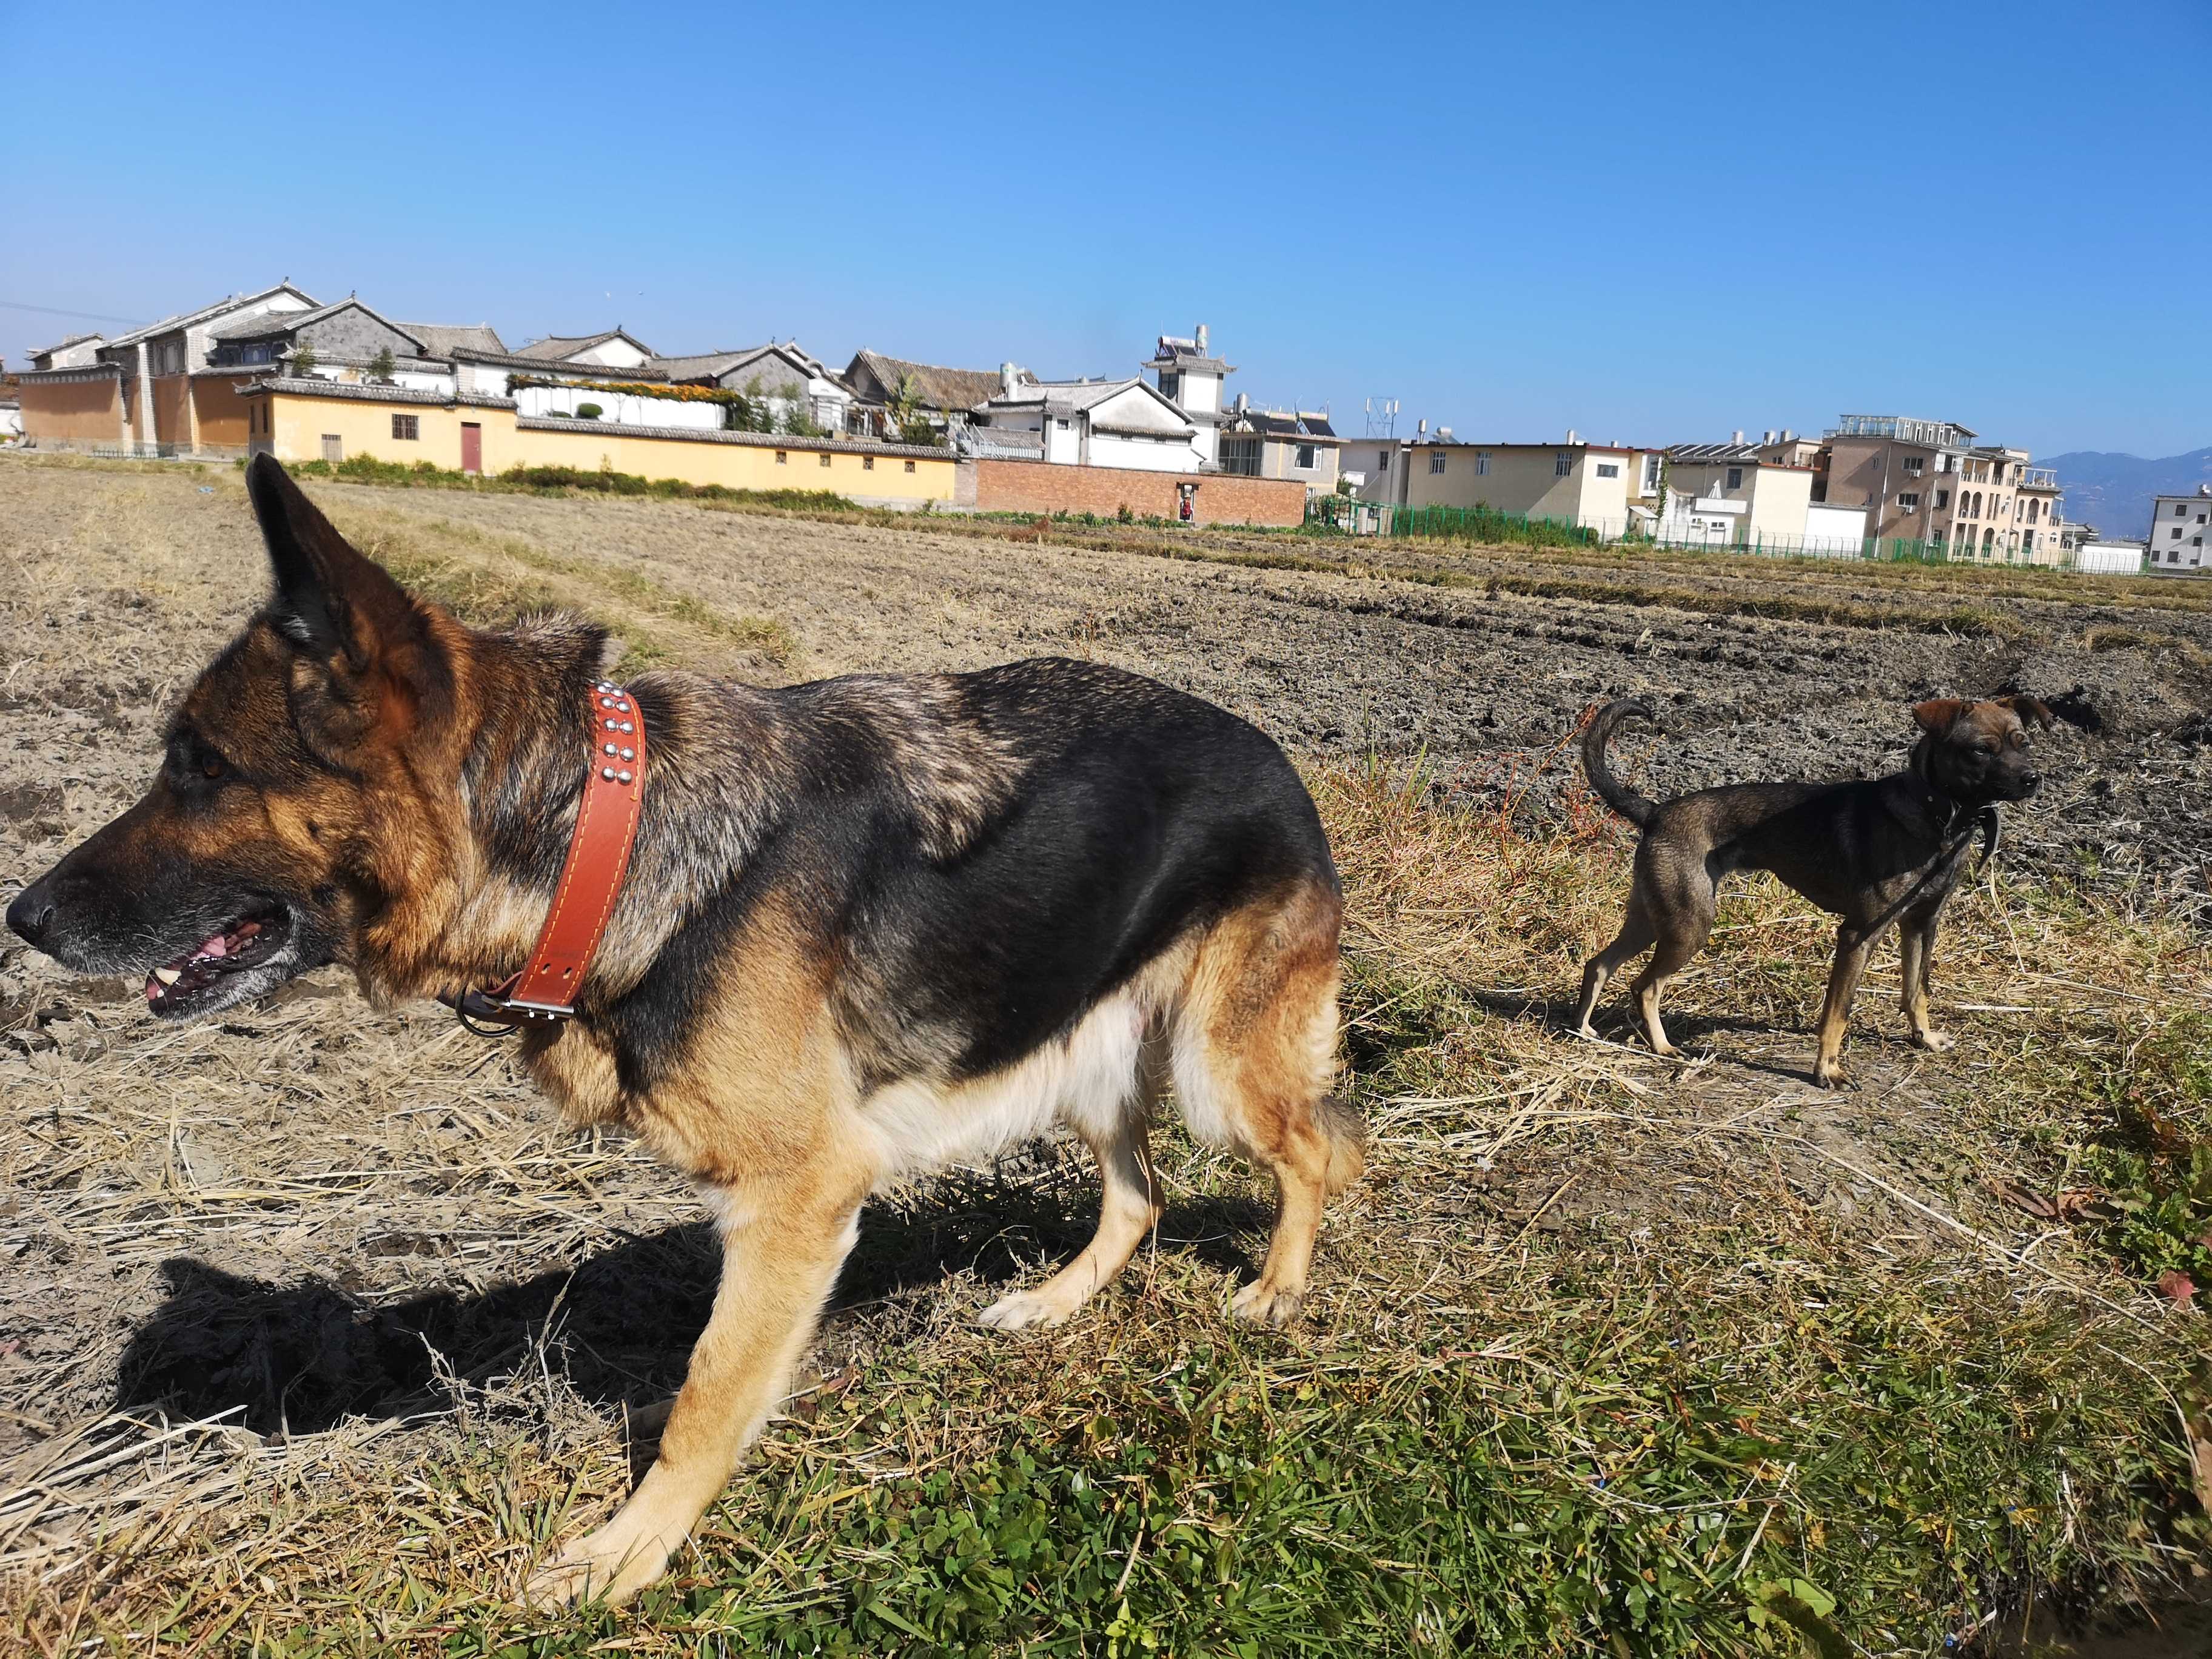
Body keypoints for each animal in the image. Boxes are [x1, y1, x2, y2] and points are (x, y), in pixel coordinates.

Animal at [4, 458, 1362, 1610]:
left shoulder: (800, 1195)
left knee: (1319, 1153)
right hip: (1080, 1048)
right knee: (1138, 1196)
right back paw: (1052, 1305)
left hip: (1212, 1066)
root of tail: (1278, 751)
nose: (23, 917)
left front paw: (628, 1555)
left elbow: (707, 1394)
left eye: (199, 767)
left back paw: (1278, 1293)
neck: (592, 837)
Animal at [1575, 699, 2053, 1093]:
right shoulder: (1858, 935)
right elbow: (1837, 1014)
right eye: (1981, 750)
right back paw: (1662, 1047)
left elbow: (1917, 991)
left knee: (1599, 964)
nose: (2033, 779)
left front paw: (1925, 1037)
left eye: (2024, 743)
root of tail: (1655, 812)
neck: (1938, 816)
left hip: (1655, 917)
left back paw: (1583, 1030)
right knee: (1645, 986)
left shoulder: (1921, 923)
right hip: (1690, 925)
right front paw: (1828, 1070)